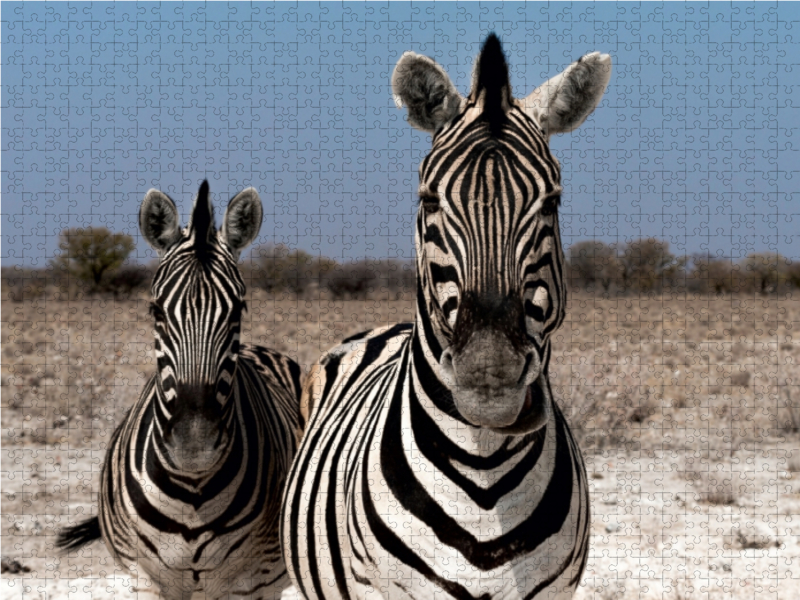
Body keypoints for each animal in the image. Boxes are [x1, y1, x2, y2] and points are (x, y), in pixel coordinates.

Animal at [57, 179, 304, 600]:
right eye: (155, 311)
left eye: (238, 311)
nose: (195, 446)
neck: (192, 491)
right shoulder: (146, 578)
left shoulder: (246, 584)